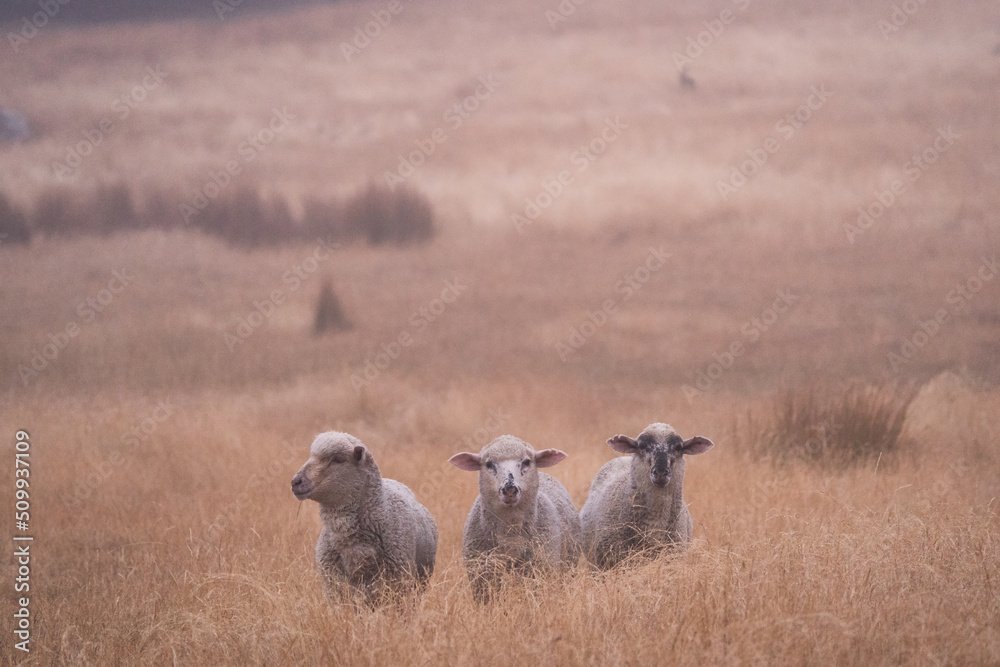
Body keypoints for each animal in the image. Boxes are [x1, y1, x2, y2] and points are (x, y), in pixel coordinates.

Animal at [449, 435, 581, 601]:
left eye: (526, 462)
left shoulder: (541, 573)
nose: (509, 489)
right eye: (489, 464)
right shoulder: (482, 580)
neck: (511, 535)